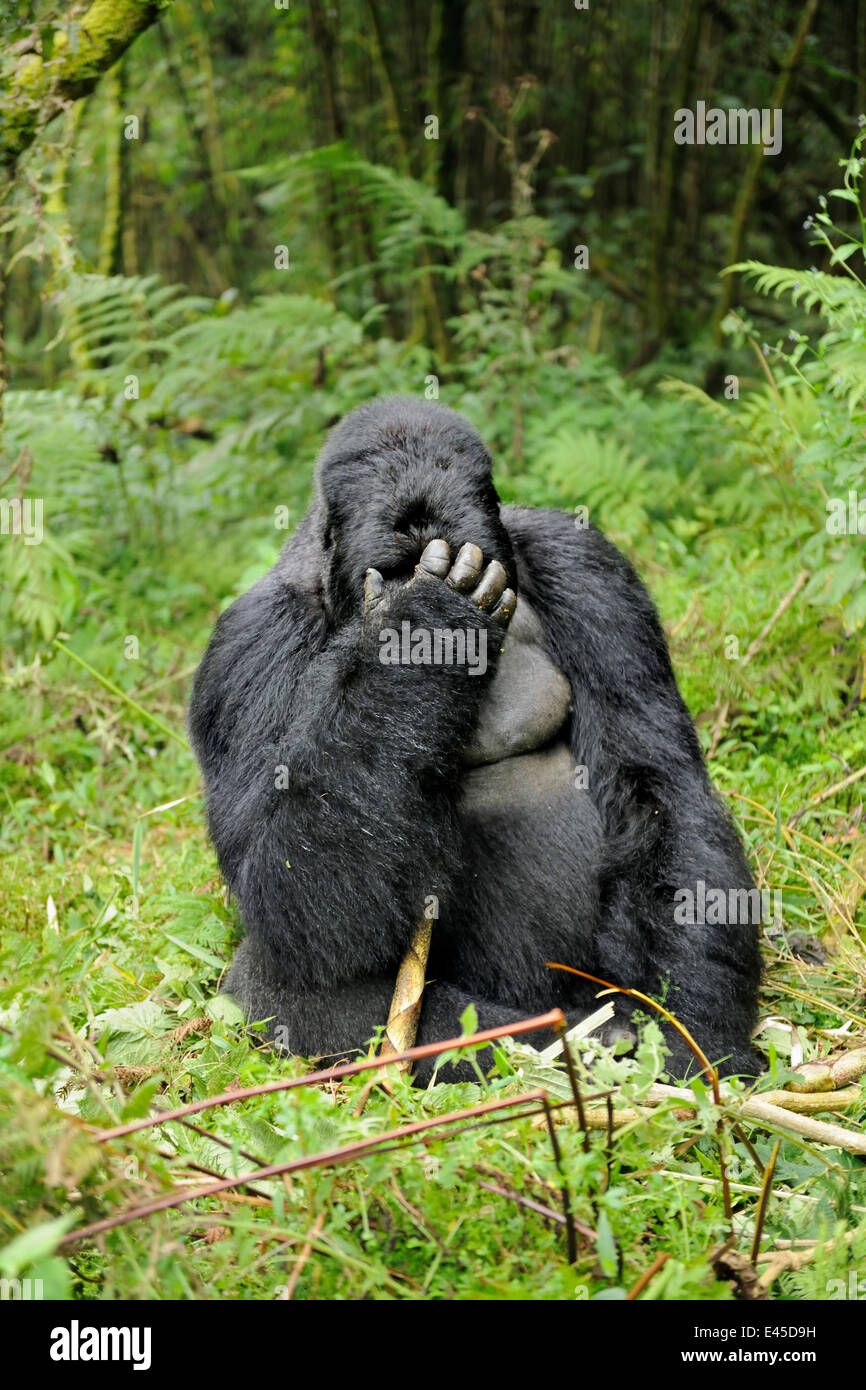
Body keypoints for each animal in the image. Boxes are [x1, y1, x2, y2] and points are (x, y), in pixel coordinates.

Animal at [187, 397, 756, 1078]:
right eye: (393, 574)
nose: (419, 602)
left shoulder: (583, 564)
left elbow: (658, 786)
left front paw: (695, 1029)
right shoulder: (250, 642)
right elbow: (286, 904)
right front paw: (421, 632)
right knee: (281, 986)